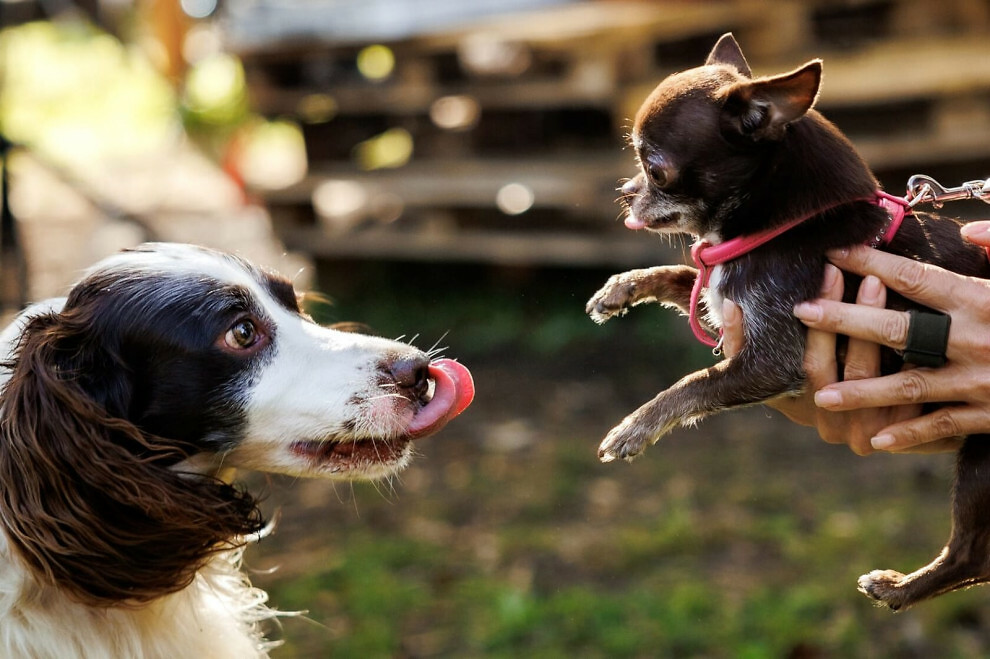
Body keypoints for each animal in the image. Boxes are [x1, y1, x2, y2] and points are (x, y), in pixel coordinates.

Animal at [588, 33, 990, 612]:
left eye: (655, 167)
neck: (791, 225)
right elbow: (685, 275)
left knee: (972, 556)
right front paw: (621, 287)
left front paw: (633, 427)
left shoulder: (771, 361)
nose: (624, 189)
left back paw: (900, 588)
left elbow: (694, 382)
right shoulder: (722, 299)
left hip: (981, 466)